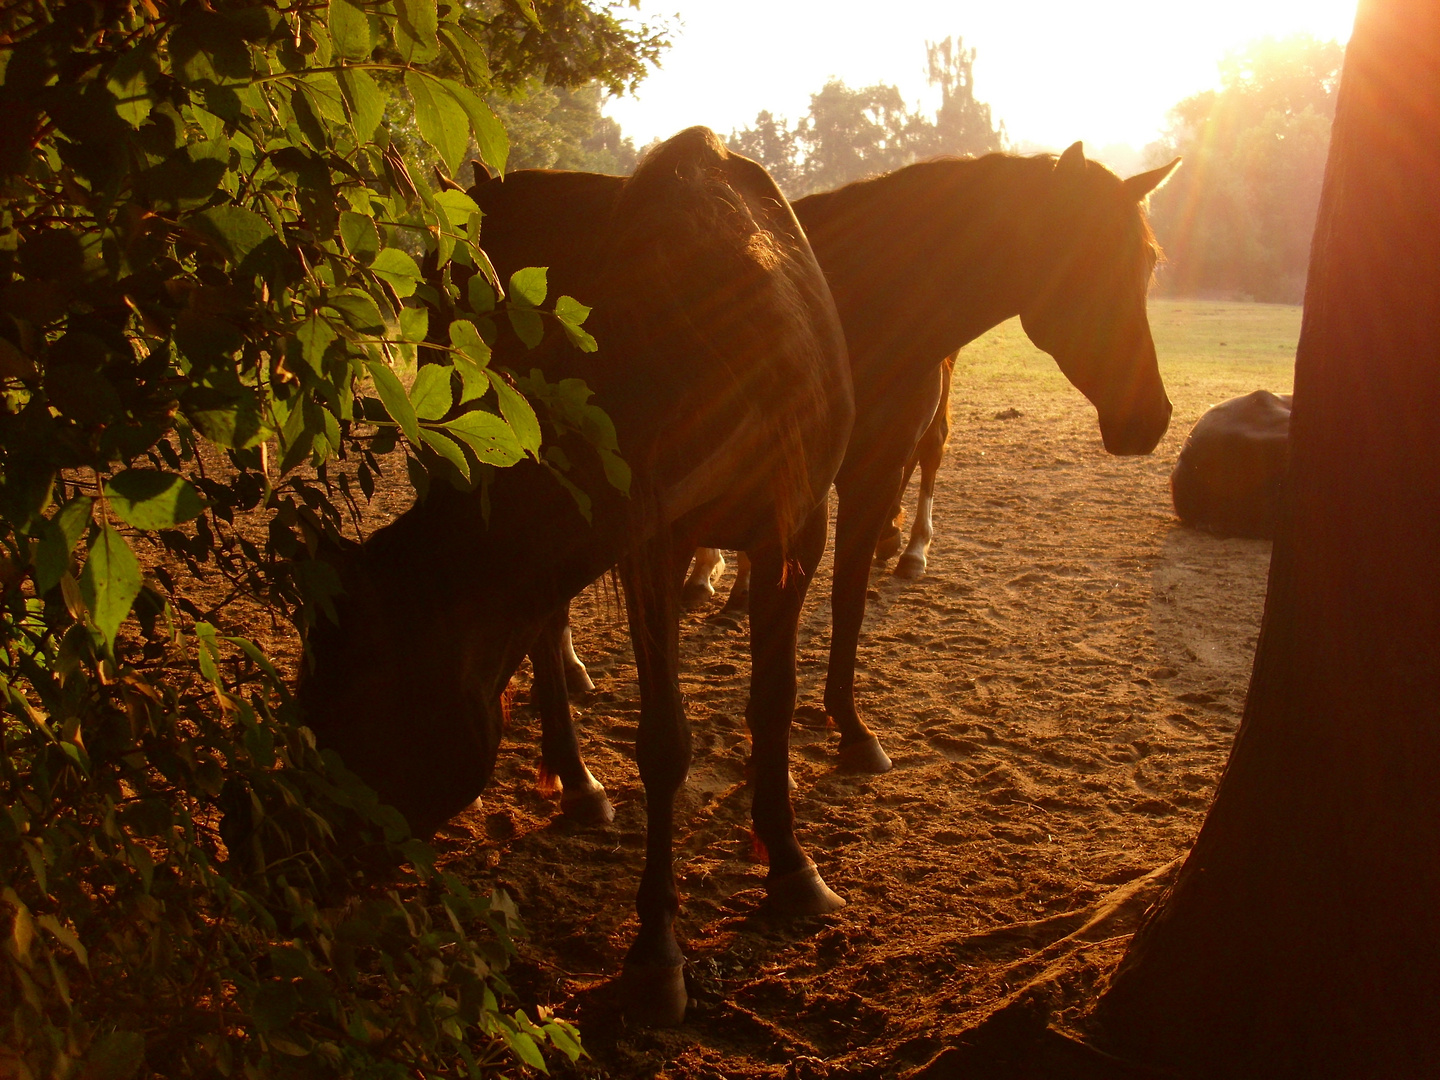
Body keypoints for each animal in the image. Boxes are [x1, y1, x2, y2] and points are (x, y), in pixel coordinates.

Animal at [295, 131, 852, 1025]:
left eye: (352, 690)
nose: (274, 847)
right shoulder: (647, 540)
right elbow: (665, 742)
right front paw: (656, 954)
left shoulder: (795, 525)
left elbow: (772, 706)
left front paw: (795, 869)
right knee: (542, 624)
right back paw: (578, 778)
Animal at [535, 144, 1175, 783]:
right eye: (1083, 257)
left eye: (1146, 264)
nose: (1150, 419)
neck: (864, 303)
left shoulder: (873, 474)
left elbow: (848, 601)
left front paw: (848, 728)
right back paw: (575, 770)